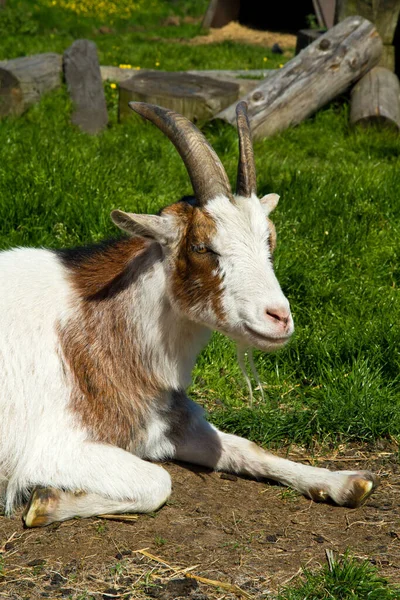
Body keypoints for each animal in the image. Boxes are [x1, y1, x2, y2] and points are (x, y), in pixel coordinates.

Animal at [0, 99, 376, 524]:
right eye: (201, 247)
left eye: (270, 239)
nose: (278, 317)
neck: (98, 323)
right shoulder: (55, 445)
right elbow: (158, 482)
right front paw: (47, 502)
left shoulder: (167, 421)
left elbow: (246, 447)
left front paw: (344, 482)